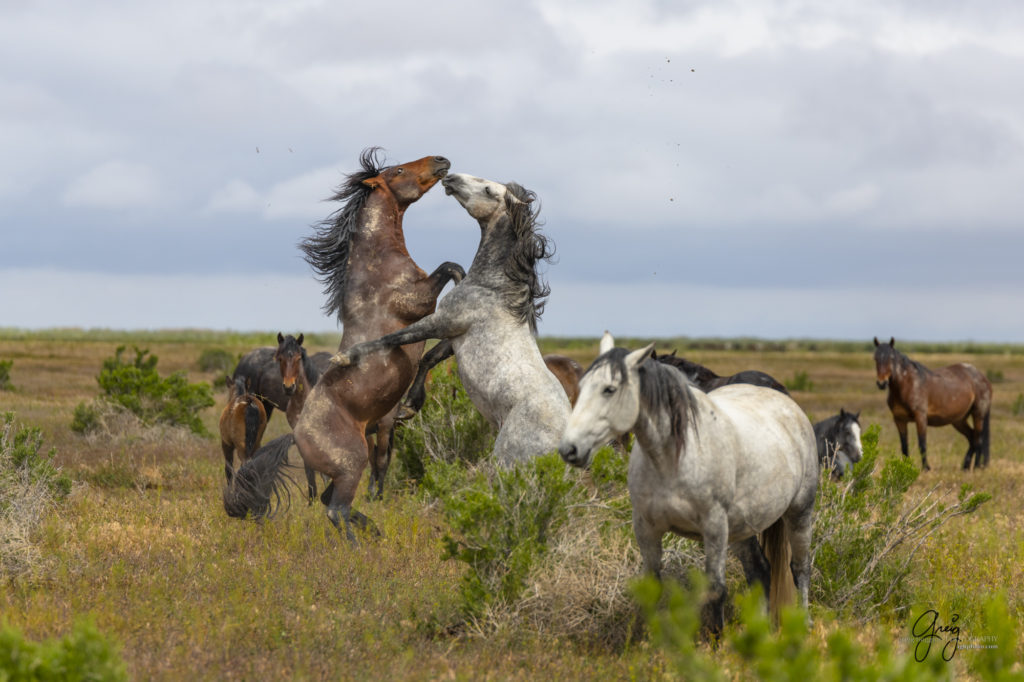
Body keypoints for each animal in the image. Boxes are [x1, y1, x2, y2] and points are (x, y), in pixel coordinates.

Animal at [337, 173, 573, 464]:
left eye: (488, 190)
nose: (451, 177)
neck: (493, 289)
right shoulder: (453, 337)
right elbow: (428, 358)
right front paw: (409, 407)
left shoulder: (443, 321)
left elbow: (391, 338)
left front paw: (345, 357)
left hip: (504, 460)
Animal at [557, 346, 819, 630]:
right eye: (581, 387)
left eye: (609, 389)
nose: (570, 448)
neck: (671, 459)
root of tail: (786, 402)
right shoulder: (646, 528)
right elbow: (651, 588)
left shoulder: (714, 528)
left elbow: (716, 590)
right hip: (741, 528)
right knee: (759, 569)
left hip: (799, 513)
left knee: (799, 568)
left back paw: (805, 623)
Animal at [872, 335, 991, 473]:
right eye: (875, 358)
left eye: (891, 358)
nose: (881, 383)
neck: (907, 385)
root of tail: (983, 378)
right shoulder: (899, 419)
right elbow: (904, 445)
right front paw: (905, 467)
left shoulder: (921, 417)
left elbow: (922, 444)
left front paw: (926, 468)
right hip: (959, 420)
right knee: (972, 438)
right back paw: (965, 466)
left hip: (978, 414)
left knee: (978, 439)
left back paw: (976, 467)